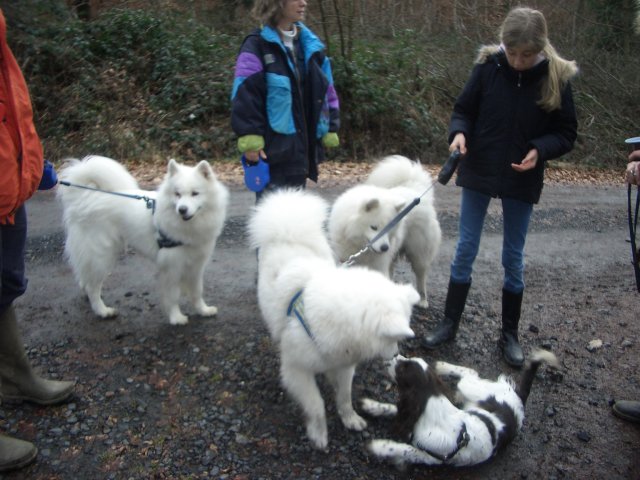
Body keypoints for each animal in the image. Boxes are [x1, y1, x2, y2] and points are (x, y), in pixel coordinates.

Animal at [57, 156, 228, 324]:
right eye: (177, 194)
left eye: (195, 193)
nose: (182, 209)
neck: (188, 226)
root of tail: (85, 197)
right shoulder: (171, 266)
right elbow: (172, 296)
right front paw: (176, 318)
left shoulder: (196, 265)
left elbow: (197, 292)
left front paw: (203, 310)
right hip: (101, 256)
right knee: (93, 287)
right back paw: (103, 311)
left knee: (85, 278)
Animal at [246, 188, 420, 450]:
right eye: (392, 339)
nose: (395, 356)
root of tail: (287, 233)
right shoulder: (296, 370)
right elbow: (316, 404)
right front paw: (318, 434)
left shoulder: (345, 364)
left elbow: (345, 396)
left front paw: (350, 418)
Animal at [328, 156, 442, 310]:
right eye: (374, 227)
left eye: (389, 228)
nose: (384, 248)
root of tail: (415, 189)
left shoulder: (378, 264)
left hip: (419, 252)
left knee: (421, 276)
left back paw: (423, 300)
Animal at [362, 348, 556, 468]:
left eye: (402, 369)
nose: (391, 356)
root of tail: (519, 398)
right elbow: (393, 409)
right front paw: (371, 406)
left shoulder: (431, 457)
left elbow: (404, 449)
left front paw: (378, 446)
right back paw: (442, 367)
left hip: (471, 386)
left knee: (472, 373)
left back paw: (442, 366)